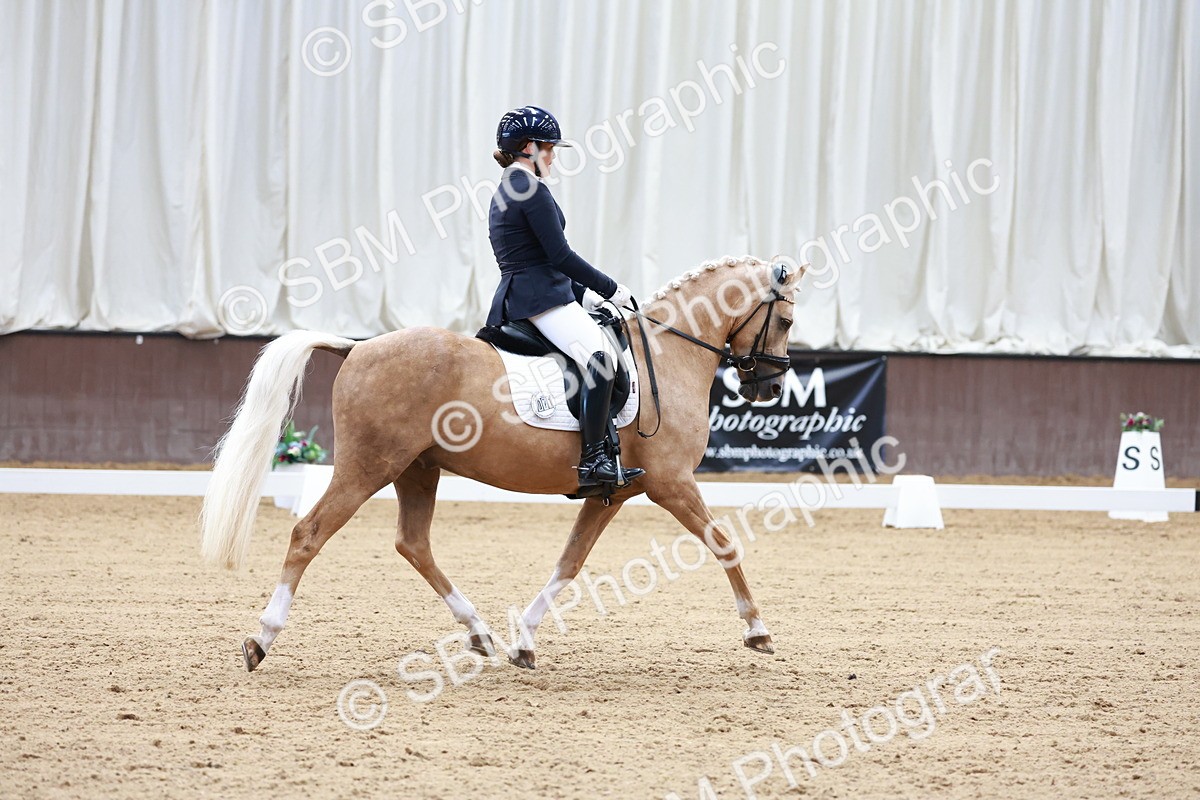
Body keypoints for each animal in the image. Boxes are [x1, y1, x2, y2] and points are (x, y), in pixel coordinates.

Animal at [201, 255, 805, 671]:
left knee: (413, 543)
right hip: (369, 465)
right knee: (309, 533)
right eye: (786, 320)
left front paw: (525, 642)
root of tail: (358, 346)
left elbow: (569, 562)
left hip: (417, 468)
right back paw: (261, 637)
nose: (771, 388)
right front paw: (757, 631)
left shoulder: (615, 492)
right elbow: (724, 542)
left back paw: (478, 632)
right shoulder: (671, 483)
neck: (668, 352)